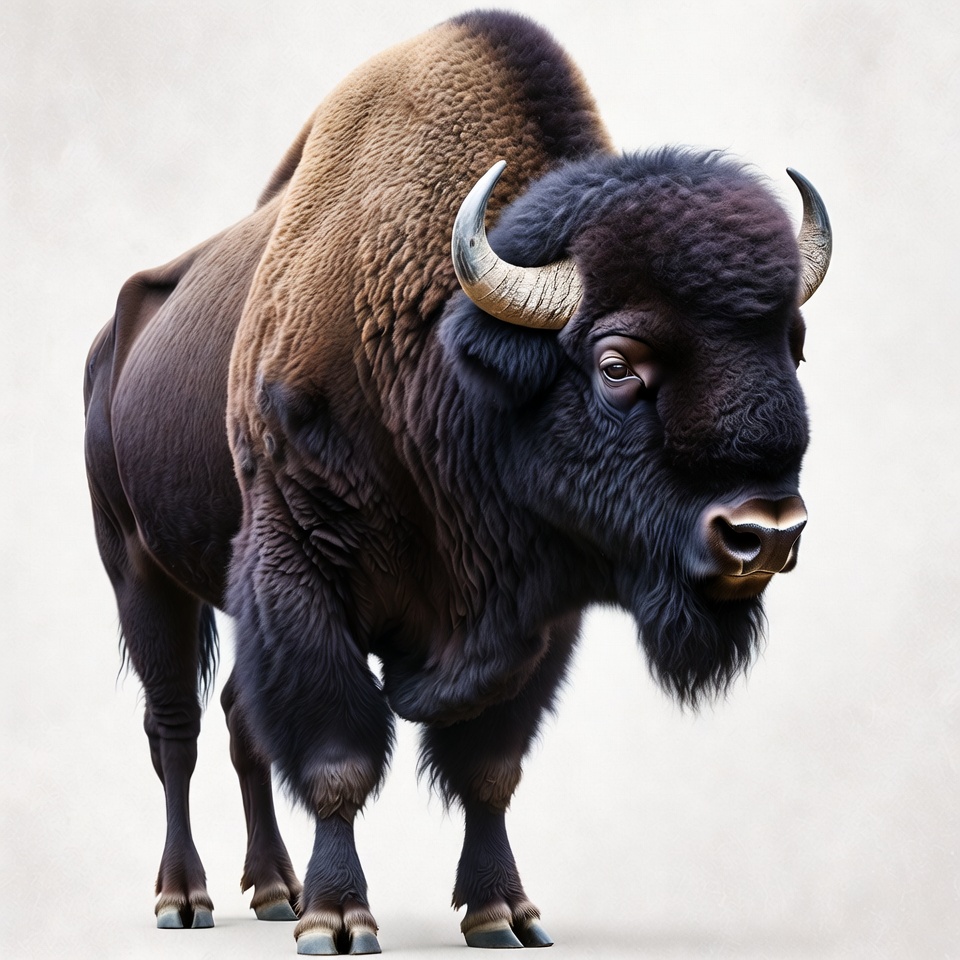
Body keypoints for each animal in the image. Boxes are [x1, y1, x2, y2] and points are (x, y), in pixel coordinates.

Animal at [83, 9, 831, 955]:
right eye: (616, 363)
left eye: (792, 347)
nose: (765, 533)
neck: (441, 355)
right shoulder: (298, 576)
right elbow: (338, 755)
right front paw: (339, 918)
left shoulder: (538, 619)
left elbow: (489, 768)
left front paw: (503, 913)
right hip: (138, 571)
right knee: (174, 727)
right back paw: (186, 899)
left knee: (240, 725)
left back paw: (274, 889)